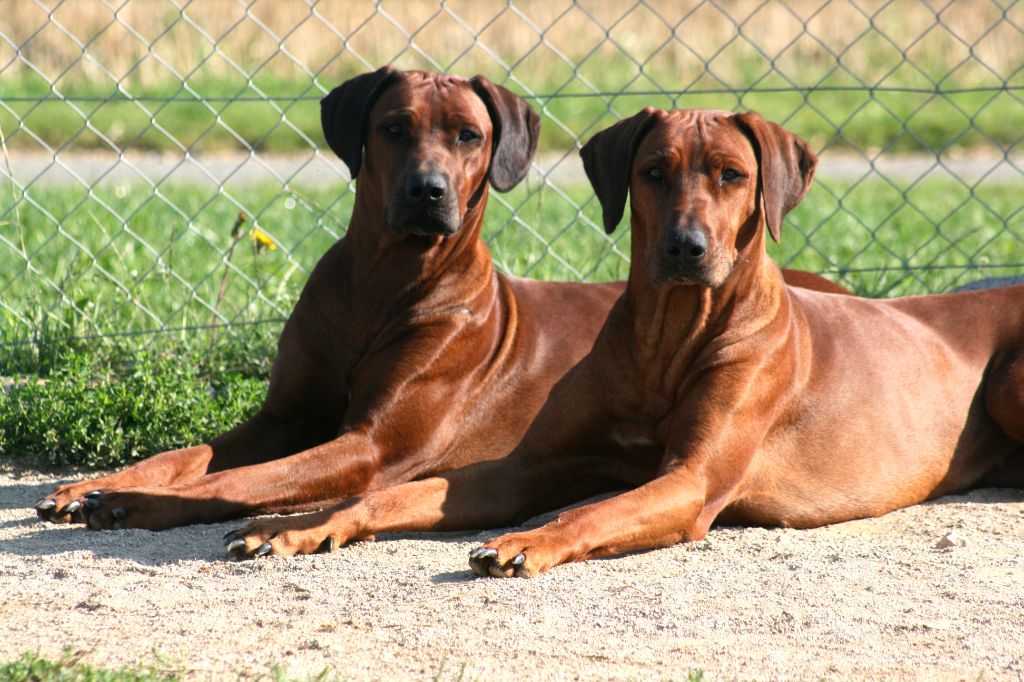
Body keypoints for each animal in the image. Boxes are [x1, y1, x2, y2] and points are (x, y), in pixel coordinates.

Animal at [220, 104, 1019, 573]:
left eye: (733, 175)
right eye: (654, 171)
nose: (686, 248)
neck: (668, 337)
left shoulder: (689, 482)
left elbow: (593, 509)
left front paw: (528, 540)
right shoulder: (524, 468)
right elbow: (389, 496)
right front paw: (298, 526)